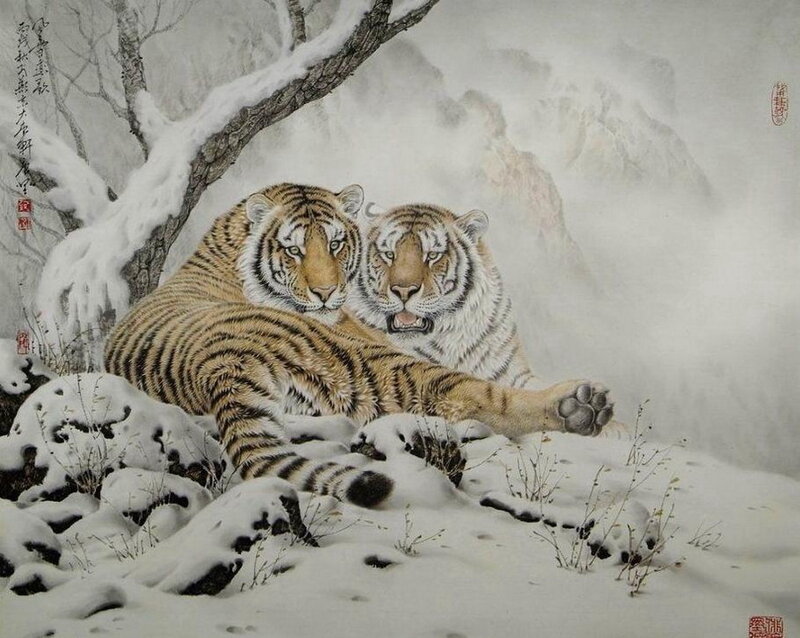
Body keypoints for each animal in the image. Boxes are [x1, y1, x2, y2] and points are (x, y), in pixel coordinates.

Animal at [104, 183, 613, 509]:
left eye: (335, 243)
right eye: (293, 249)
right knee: (483, 400)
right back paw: (581, 407)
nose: (328, 293)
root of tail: (218, 365)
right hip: (381, 368)